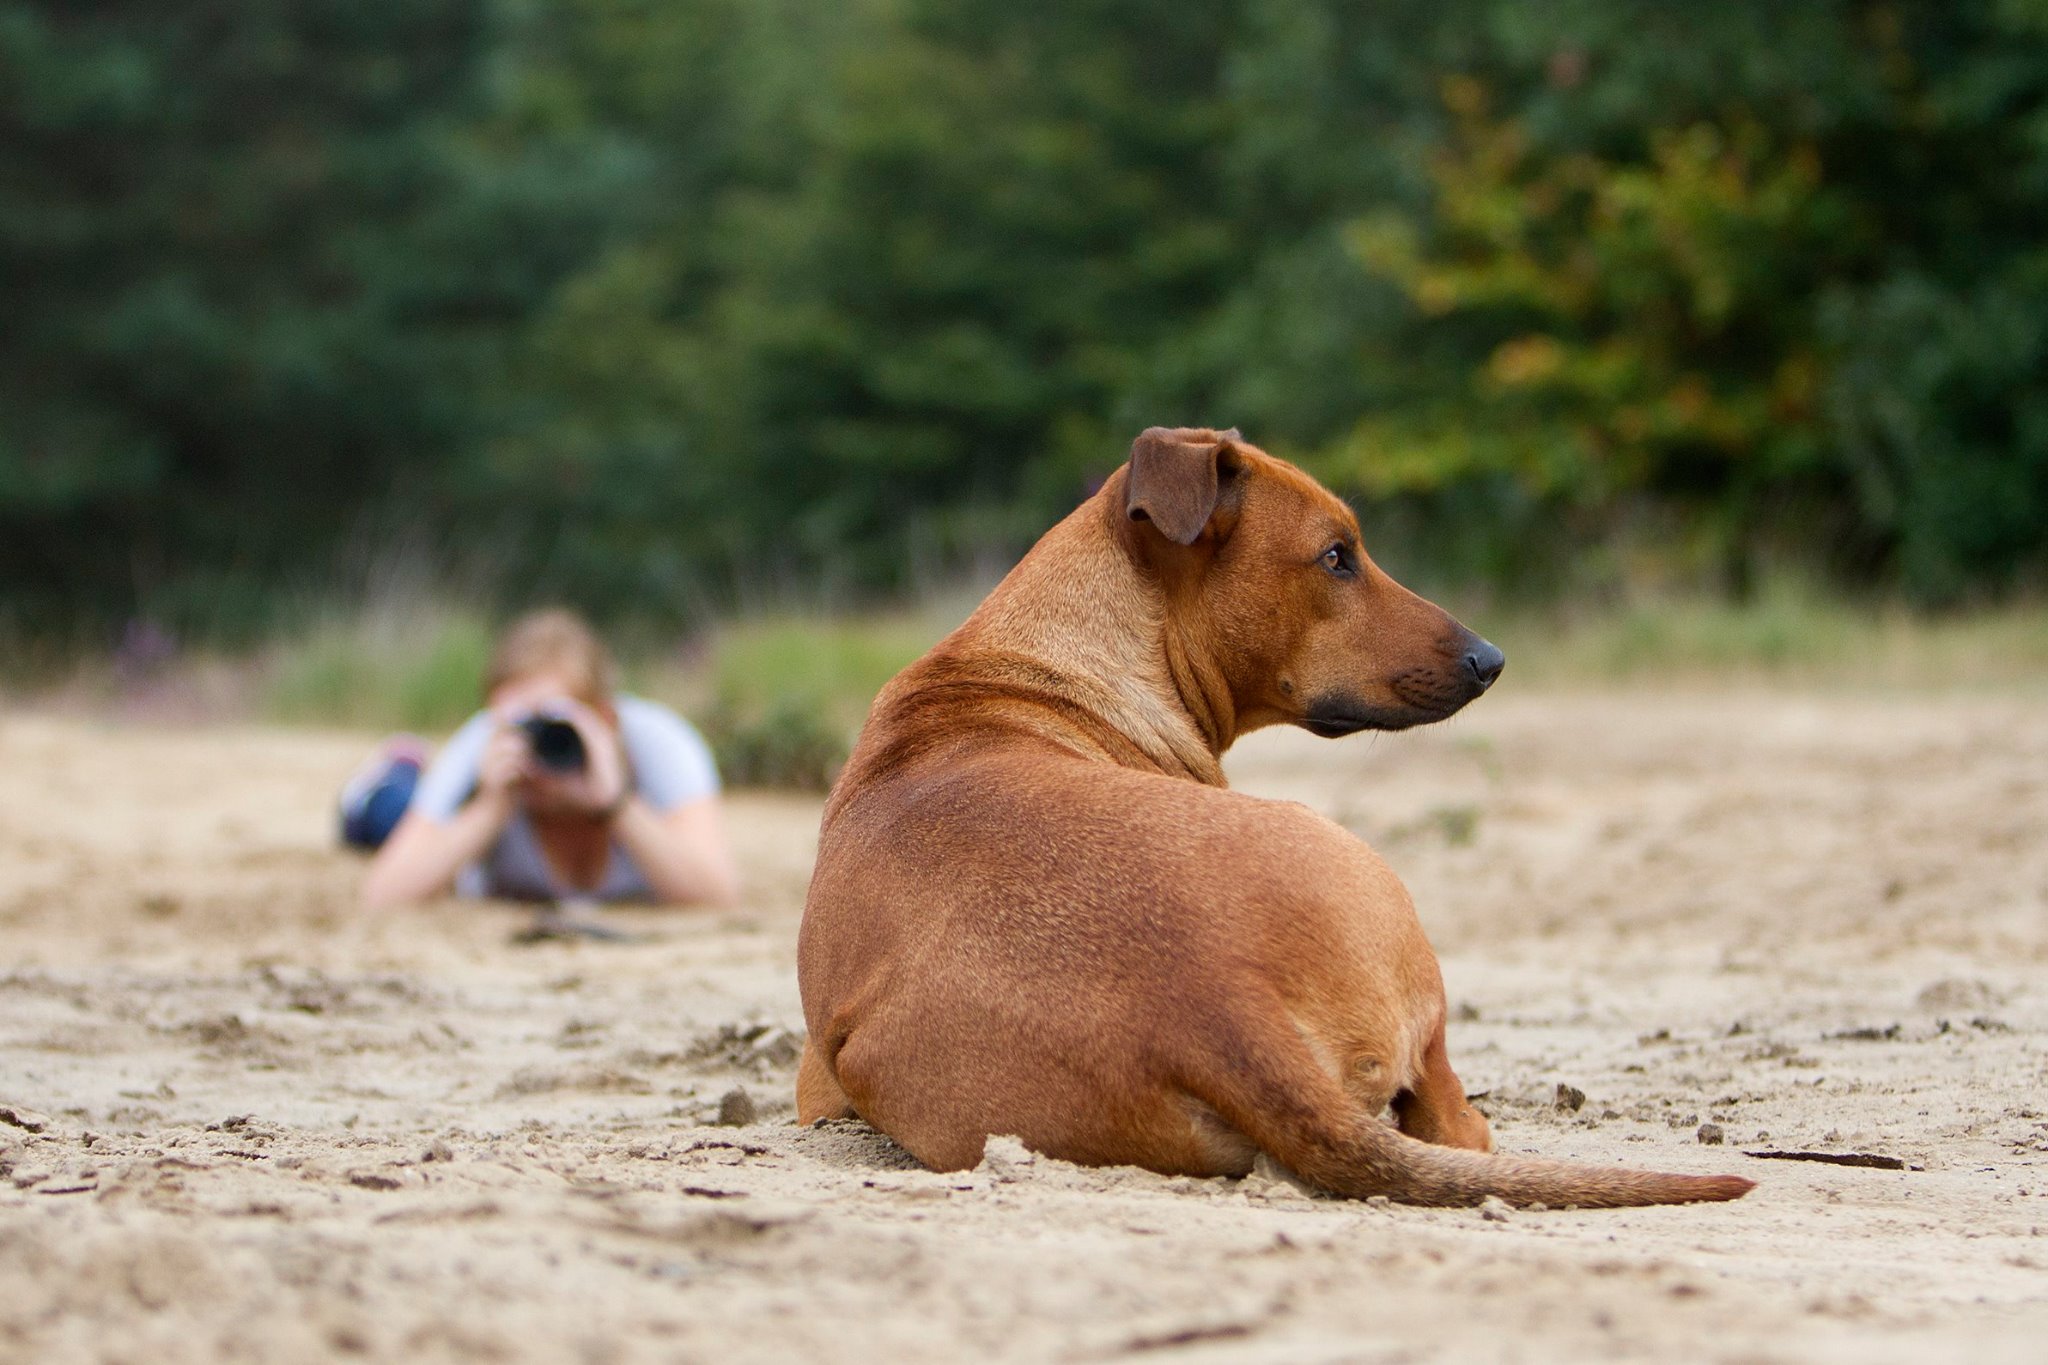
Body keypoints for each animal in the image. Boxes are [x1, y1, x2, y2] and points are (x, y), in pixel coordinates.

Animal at [790, 427, 1753, 1203]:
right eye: (1336, 556)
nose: (1492, 659)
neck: (1052, 658)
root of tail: (1220, 1012)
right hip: (1378, 885)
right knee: (1444, 1109)